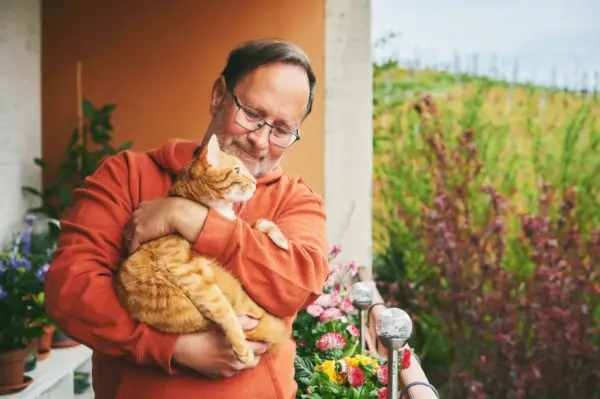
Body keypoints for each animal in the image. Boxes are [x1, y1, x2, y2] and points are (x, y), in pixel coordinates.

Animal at [114, 136, 290, 368]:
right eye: (237, 170)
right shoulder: (189, 274)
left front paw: (281, 240)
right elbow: (223, 309)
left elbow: (257, 223)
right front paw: (241, 347)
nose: (253, 182)